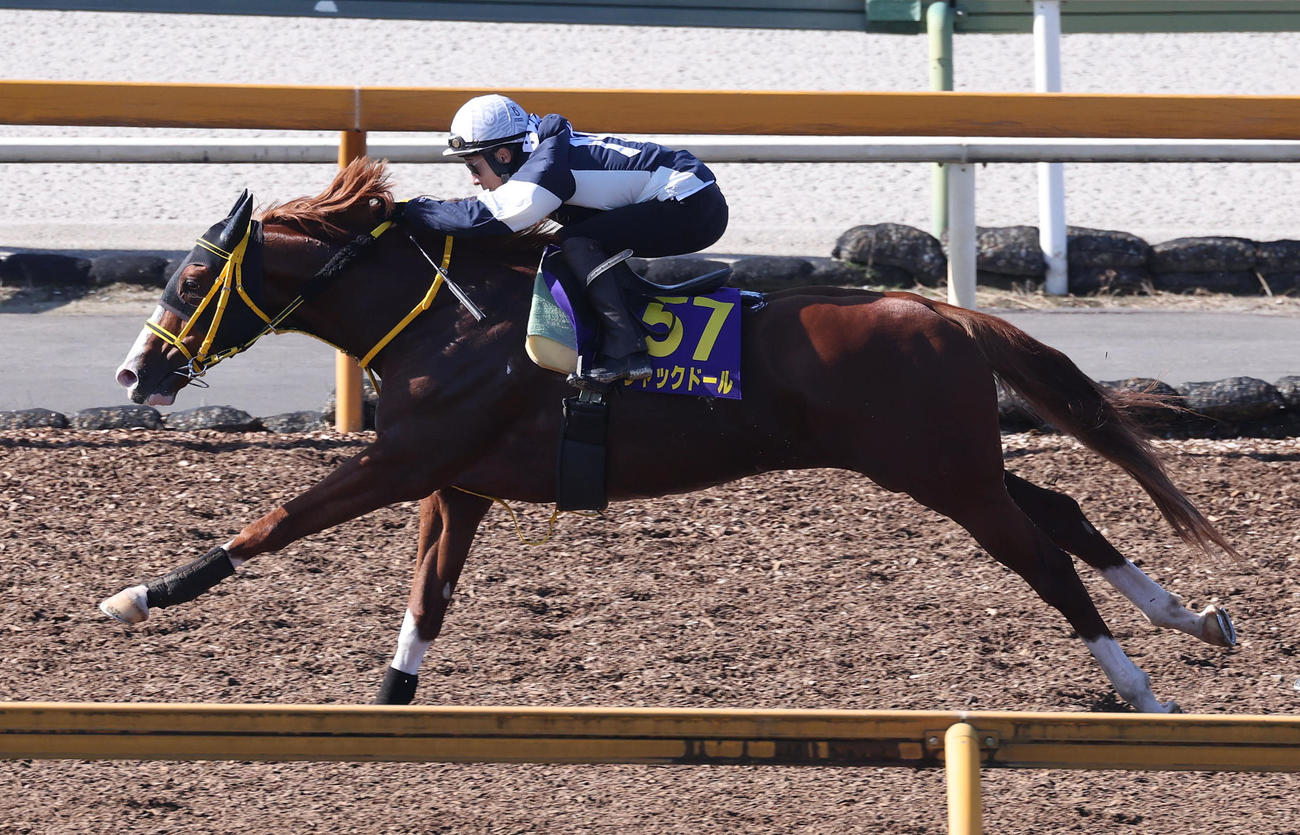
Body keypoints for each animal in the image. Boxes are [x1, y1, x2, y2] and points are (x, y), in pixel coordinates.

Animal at [104, 158, 1239, 713]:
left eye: (193, 277)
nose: (135, 374)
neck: (448, 320)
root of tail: (942, 313)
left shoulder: (403, 460)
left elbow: (270, 525)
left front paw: (136, 596)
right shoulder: (456, 480)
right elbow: (426, 601)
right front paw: (389, 700)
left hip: (943, 475)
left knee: (1045, 557)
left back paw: (1137, 684)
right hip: (949, 464)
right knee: (1065, 507)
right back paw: (1191, 618)